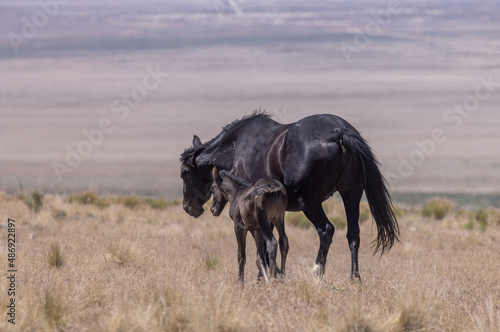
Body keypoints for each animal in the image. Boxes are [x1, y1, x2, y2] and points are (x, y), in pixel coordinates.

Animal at [180, 112, 398, 280]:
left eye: (184, 173)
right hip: (351, 195)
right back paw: (354, 278)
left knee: (326, 230)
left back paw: (317, 273)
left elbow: (263, 246)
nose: (187, 207)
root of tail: (339, 132)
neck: (237, 147)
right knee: (353, 234)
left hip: (310, 203)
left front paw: (265, 276)